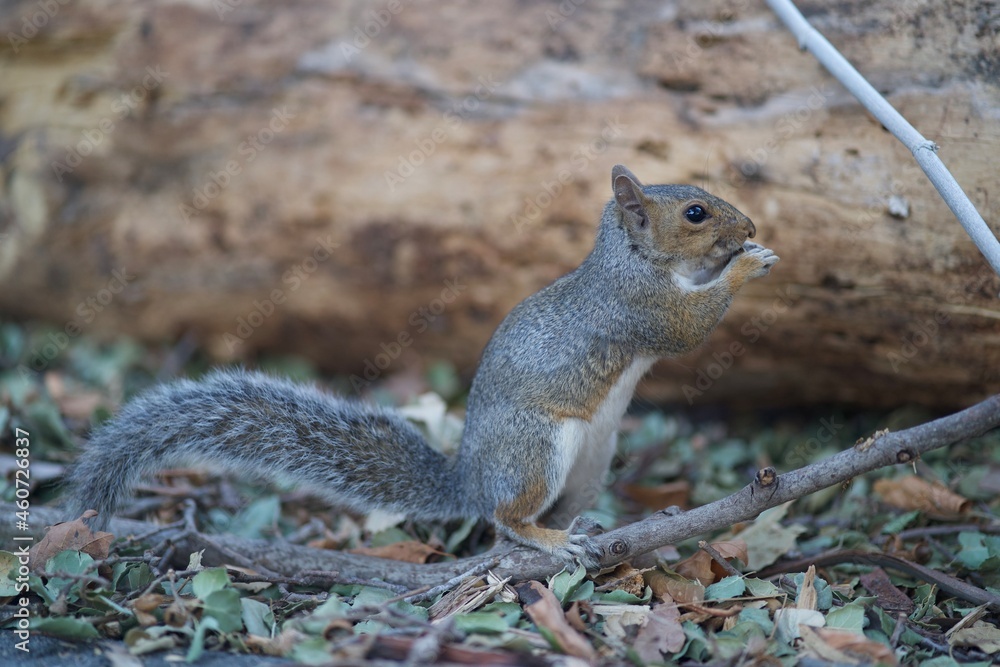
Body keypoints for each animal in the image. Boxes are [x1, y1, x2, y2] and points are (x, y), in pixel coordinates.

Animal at [66, 165, 778, 569]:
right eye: (695, 213)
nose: (748, 224)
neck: (627, 258)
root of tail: (470, 479)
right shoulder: (638, 308)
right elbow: (689, 326)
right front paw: (747, 265)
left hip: (591, 461)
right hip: (536, 448)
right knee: (506, 520)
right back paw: (550, 541)